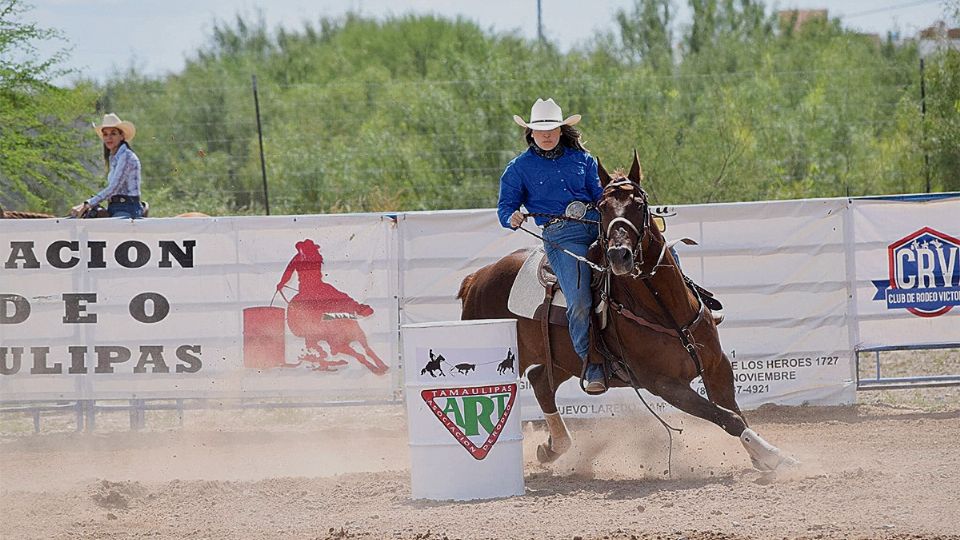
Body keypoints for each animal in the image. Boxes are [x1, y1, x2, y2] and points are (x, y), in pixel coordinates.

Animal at [458, 150, 796, 470]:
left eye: (638, 204)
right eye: (603, 208)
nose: (619, 255)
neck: (666, 310)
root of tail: (478, 277)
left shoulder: (718, 366)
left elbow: (735, 413)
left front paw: (767, 456)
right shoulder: (666, 385)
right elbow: (728, 418)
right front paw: (774, 457)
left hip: (565, 358)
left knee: (541, 382)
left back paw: (553, 448)